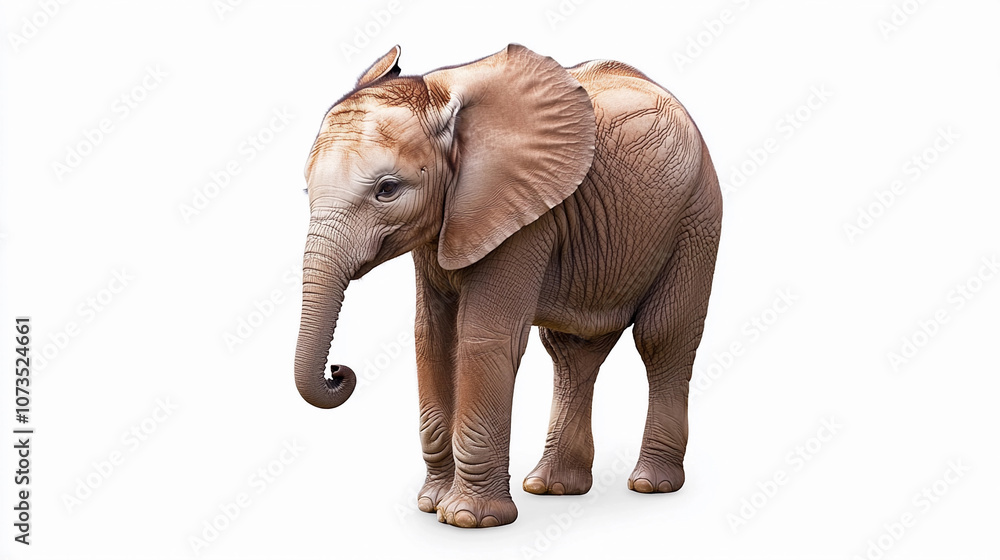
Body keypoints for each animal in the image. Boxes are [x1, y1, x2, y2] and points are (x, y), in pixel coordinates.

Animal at [294, 44, 722, 528]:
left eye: (387, 189)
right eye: (306, 190)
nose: (338, 371)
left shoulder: (522, 214)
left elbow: (484, 337)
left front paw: (468, 519)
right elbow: (432, 338)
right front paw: (431, 505)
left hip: (696, 215)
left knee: (662, 337)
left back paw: (652, 485)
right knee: (572, 352)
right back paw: (553, 488)